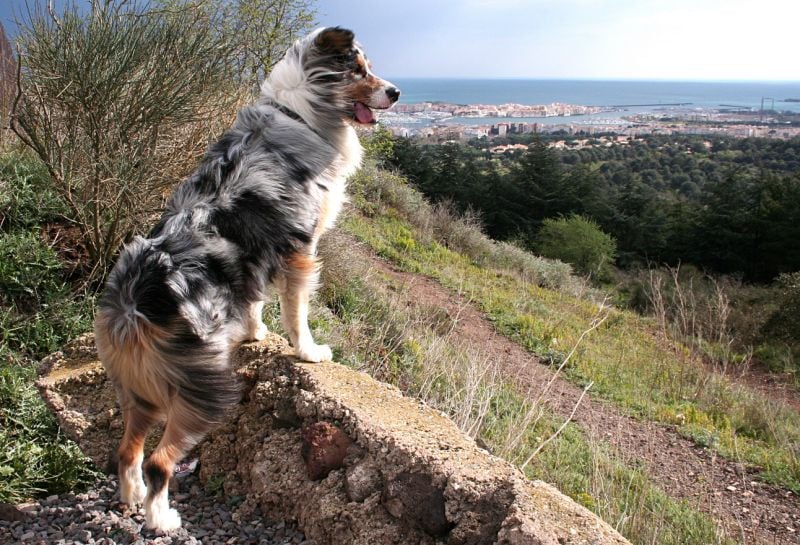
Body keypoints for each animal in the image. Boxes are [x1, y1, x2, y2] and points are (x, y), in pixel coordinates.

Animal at [94, 26, 400, 532]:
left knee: (126, 450)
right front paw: (309, 352)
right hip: (198, 388)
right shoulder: (301, 249)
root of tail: (136, 298)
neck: (300, 110)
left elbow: (255, 299)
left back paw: (131, 498)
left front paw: (255, 333)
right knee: (160, 461)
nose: (396, 92)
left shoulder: (258, 258)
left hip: (139, 386)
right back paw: (162, 520)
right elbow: (298, 311)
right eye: (359, 70)